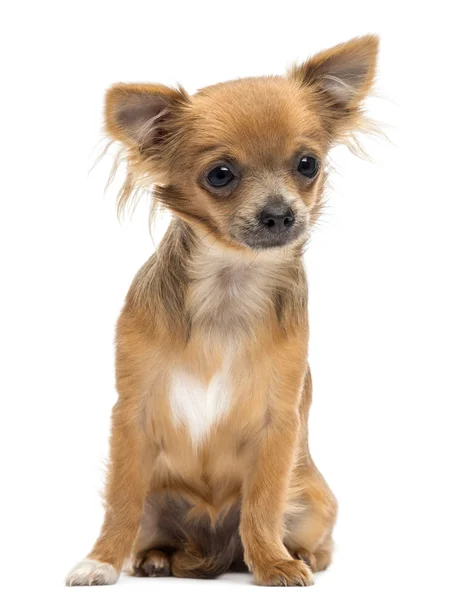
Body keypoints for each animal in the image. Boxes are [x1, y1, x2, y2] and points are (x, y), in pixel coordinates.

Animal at [66, 34, 376, 584]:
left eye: (307, 164)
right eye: (221, 175)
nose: (280, 214)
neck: (231, 283)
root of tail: (215, 547)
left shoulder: (279, 422)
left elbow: (263, 503)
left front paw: (273, 562)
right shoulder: (132, 414)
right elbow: (121, 503)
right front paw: (101, 561)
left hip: (313, 497)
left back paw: (302, 553)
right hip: (160, 498)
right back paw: (156, 557)